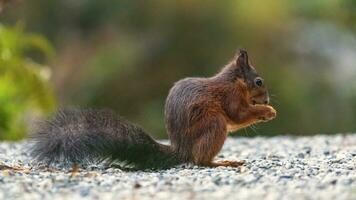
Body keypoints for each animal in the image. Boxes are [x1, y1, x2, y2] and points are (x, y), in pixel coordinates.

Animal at [31, 49, 276, 169]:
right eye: (259, 82)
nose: (266, 100)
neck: (234, 81)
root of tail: (181, 151)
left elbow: (236, 120)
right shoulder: (230, 96)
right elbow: (238, 115)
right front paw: (268, 112)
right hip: (214, 126)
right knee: (199, 161)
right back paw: (222, 163)